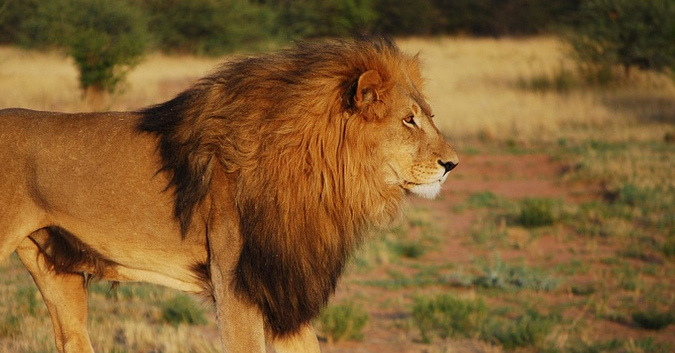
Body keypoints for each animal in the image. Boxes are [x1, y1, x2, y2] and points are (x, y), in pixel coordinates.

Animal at [0, 37, 460, 350]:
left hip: (55, 271)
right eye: (408, 120)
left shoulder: (283, 287)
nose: (452, 164)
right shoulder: (235, 281)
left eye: (428, 116)